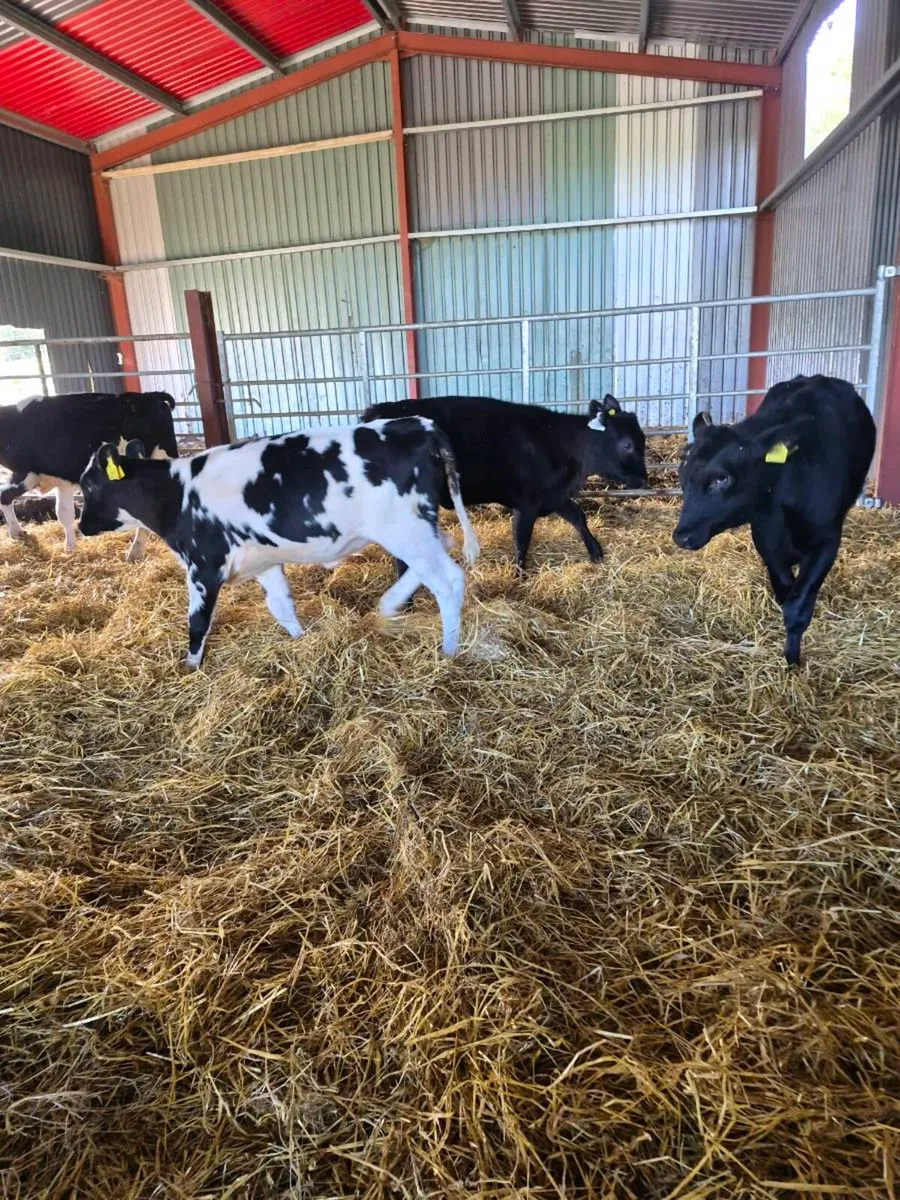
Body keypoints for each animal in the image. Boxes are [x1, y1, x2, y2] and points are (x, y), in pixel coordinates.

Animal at [0, 390, 178, 560]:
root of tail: (150, 396)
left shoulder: (32, 474)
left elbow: (5, 497)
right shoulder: (52, 479)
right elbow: (62, 513)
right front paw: (68, 548)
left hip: (163, 454)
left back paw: (135, 551)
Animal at [77, 417, 480, 668]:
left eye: (89, 485)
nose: (81, 526)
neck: (176, 494)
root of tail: (417, 423)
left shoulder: (203, 564)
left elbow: (197, 621)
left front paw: (190, 666)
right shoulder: (264, 562)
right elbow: (282, 608)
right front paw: (302, 641)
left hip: (406, 531)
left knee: (448, 580)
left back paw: (449, 651)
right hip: (417, 529)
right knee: (443, 546)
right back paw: (390, 604)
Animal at [363, 394, 648, 573]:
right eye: (627, 444)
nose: (644, 481)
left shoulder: (553, 495)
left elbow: (578, 517)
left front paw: (596, 553)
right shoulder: (527, 502)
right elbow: (522, 539)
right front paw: (519, 575)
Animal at [673, 374, 876, 665]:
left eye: (722, 478)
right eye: (683, 472)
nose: (682, 535)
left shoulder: (827, 540)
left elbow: (797, 604)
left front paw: (792, 660)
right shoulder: (765, 535)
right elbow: (785, 590)